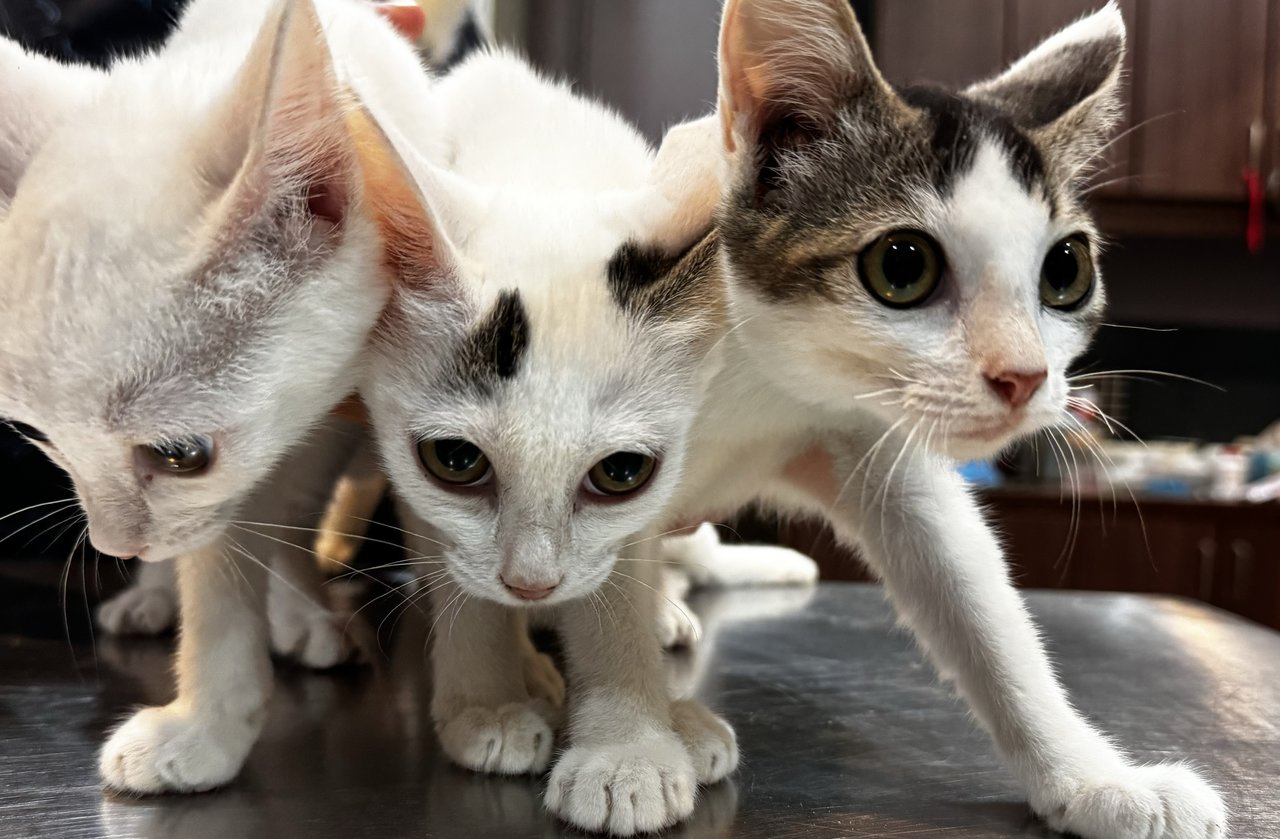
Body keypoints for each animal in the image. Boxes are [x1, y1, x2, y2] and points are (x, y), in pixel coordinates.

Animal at [0, 0, 450, 794]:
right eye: (42, 437)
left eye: (181, 455)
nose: (112, 543)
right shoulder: (224, 496)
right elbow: (218, 570)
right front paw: (207, 725)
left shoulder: (335, 423)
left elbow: (293, 509)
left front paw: (297, 604)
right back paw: (154, 594)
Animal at [360, 55, 742, 835]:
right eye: (456, 461)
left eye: (621, 471)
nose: (531, 583)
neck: (541, 158)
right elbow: (459, 577)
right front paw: (485, 701)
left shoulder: (642, 505)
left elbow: (619, 582)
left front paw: (628, 746)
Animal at [650, 3, 1228, 835]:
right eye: (902, 266)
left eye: (1066, 270)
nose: (1025, 377)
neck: (755, 373)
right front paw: (622, 735)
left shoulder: (863, 430)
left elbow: (969, 588)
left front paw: (1094, 776)